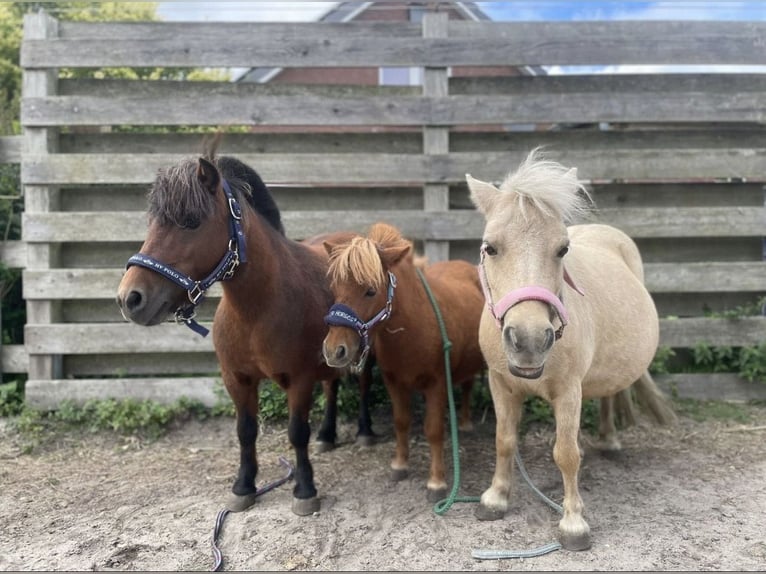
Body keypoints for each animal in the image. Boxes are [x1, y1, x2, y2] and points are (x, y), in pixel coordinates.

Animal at [116, 143, 375, 516]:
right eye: (152, 223)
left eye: (191, 222)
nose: (129, 298)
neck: (257, 311)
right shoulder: (237, 379)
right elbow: (246, 431)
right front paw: (244, 486)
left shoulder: (300, 379)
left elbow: (297, 432)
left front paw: (305, 489)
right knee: (332, 386)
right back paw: (327, 436)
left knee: (364, 384)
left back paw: (366, 432)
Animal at [321, 222, 486, 502]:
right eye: (335, 289)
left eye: (370, 290)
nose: (335, 350)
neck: (413, 327)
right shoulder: (394, 382)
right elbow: (401, 422)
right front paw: (400, 465)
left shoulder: (436, 385)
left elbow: (433, 430)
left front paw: (437, 482)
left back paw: (465, 424)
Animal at [466, 148, 676, 550]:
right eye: (490, 247)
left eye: (562, 248)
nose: (529, 340)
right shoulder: (500, 384)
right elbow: (504, 440)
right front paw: (495, 499)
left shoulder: (568, 390)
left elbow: (565, 454)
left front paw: (573, 523)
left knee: (609, 394)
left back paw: (610, 441)